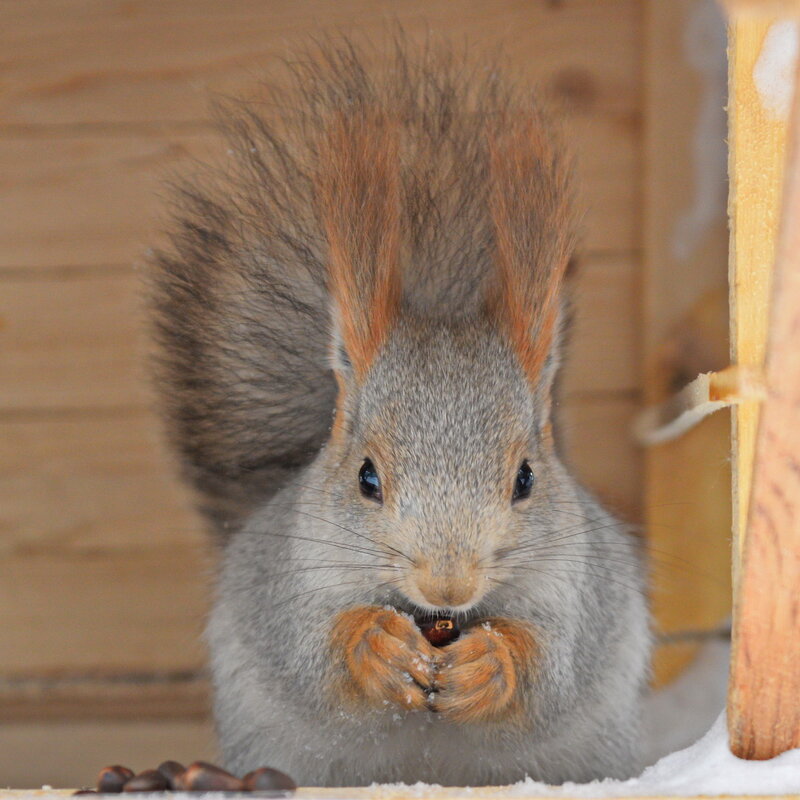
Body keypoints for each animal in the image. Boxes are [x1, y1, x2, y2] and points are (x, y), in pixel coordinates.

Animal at [150, 39, 648, 788]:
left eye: (526, 479)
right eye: (366, 478)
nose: (448, 585)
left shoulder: (581, 589)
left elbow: (553, 666)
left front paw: (490, 662)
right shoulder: (285, 583)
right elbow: (311, 653)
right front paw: (376, 647)